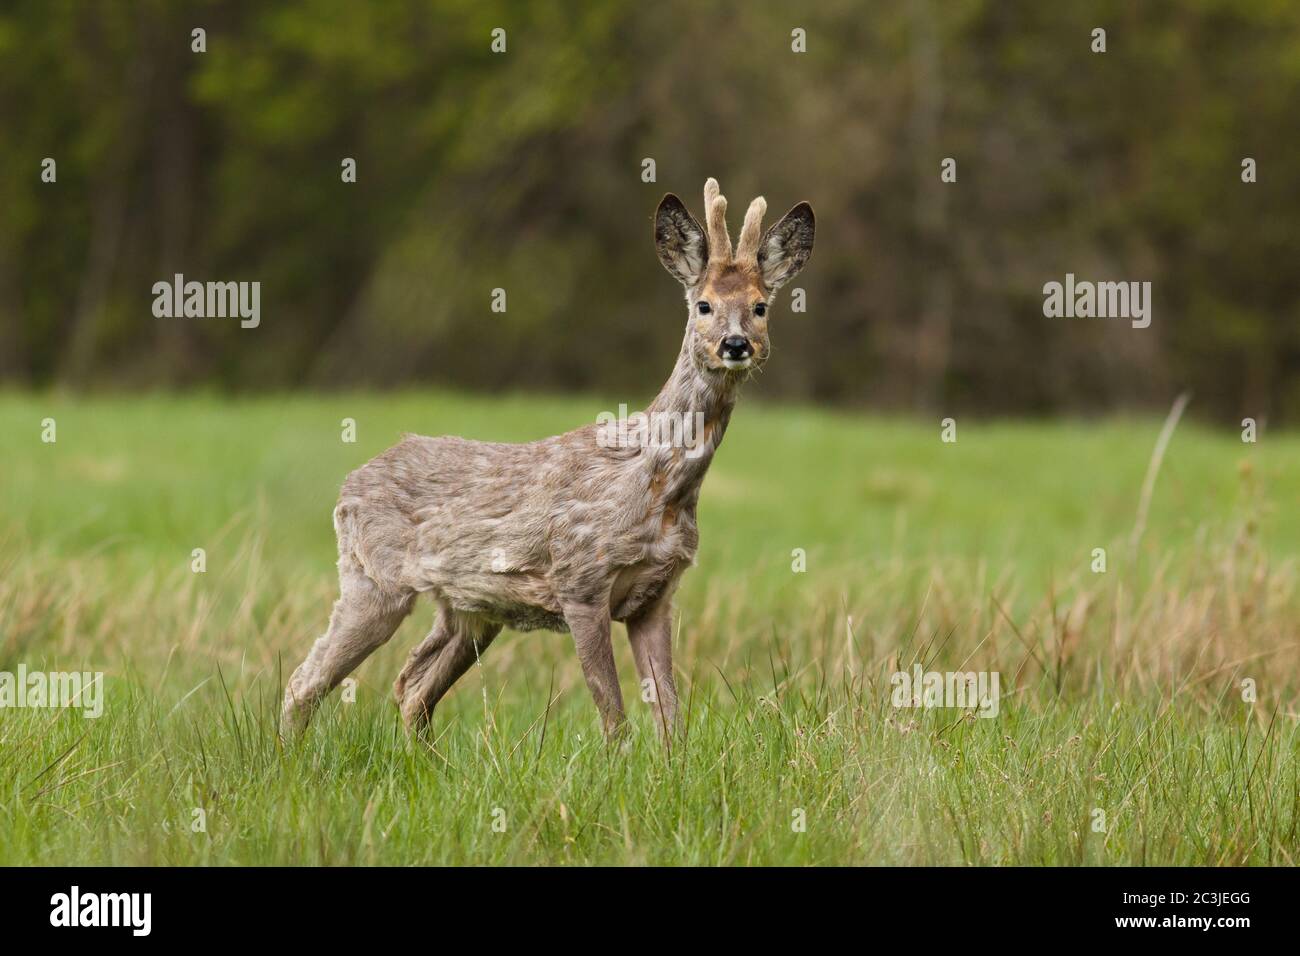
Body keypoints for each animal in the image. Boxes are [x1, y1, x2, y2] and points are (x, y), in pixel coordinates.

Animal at [280, 180, 811, 749]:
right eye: (704, 305)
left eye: (760, 306)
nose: (735, 345)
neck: (659, 487)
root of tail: (349, 486)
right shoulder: (579, 579)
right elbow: (612, 713)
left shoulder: (656, 596)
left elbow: (670, 716)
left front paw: (673, 766)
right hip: (373, 580)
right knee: (304, 681)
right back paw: (293, 758)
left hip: (469, 610)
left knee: (412, 687)